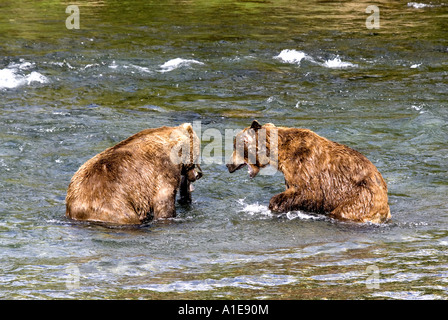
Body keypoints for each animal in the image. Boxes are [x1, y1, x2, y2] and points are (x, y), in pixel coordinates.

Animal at [226, 119, 390, 222]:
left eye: (236, 145)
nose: (228, 165)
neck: (279, 154)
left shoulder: (305, 165)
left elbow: (308, 192)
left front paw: (275, 204)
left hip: (361, 197)